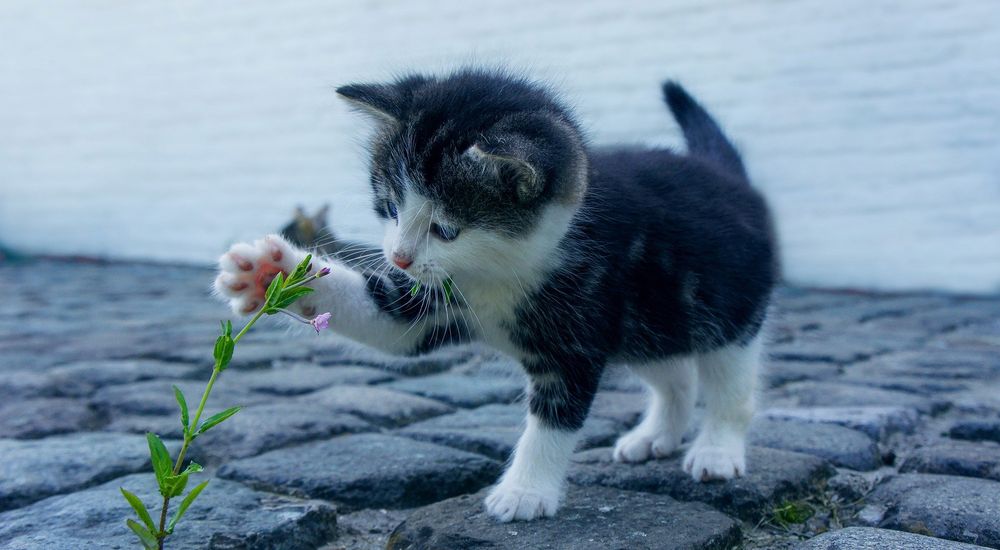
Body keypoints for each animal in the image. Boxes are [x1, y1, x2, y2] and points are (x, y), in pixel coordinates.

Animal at [217, 68, 780, 520]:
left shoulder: (578, 331)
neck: (499, 271)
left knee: (730, 383)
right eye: (391, 208)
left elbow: (553, 419)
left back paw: (716, 450)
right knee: (674, 373)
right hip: (649, 321)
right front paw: (270, 272)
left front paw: (525, 492)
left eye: (446, 229)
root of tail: (727, 176)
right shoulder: (433, 300)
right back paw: (656, 435)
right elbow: (388, 321)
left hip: (727, 308)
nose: (398, 257)